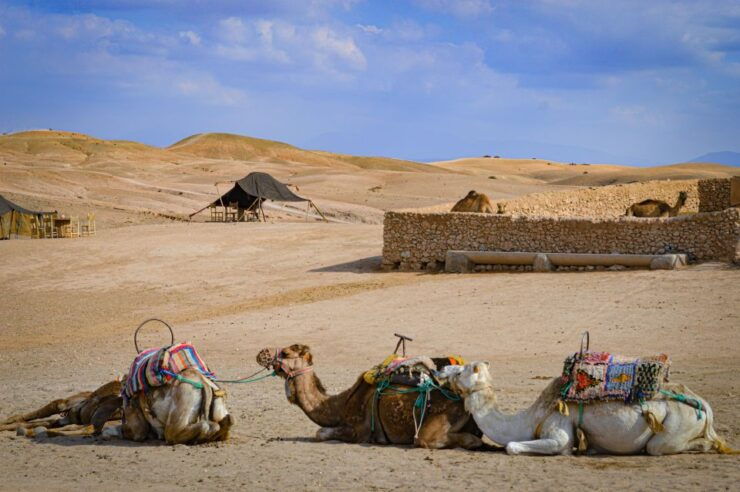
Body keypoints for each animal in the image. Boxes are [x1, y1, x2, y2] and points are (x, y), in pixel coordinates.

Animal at [256, 344, 483, 449]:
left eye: (285, 353)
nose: (261, 353)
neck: (338, 406)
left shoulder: (359, 430)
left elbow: (320, 433)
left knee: (427, 439)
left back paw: (472, 442)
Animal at [439, 362, 736, 456]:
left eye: (462, 370)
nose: (442, 369)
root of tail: (705, 406)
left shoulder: (559, 428)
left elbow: (513, 446)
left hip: (676, 424)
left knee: (661, 446)